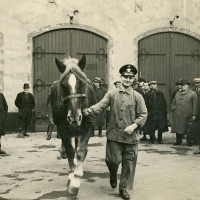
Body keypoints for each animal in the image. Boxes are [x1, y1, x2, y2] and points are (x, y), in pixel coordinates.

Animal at [50, 55, 96, 197]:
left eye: (82, 83)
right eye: (64, 85)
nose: (75, 117)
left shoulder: (86, 128)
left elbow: (80, 151)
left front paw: (76, 182)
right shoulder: (63, 129)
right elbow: (70, 151)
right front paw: (71, 177)